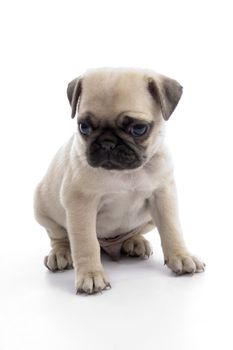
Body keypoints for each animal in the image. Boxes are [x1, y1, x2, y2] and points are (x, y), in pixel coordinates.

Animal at [33, 67, 205, 294]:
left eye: (139, 129)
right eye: (84, 127)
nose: (107, 143)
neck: (125, 173)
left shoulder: (163, 195)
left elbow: (172, 229)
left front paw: (182, 256)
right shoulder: (81, 205)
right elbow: (85, 243)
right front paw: (90, 274)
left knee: (134, 233)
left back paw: (135, 242)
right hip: (43, 210)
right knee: (60, 237)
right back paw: (60, 254)